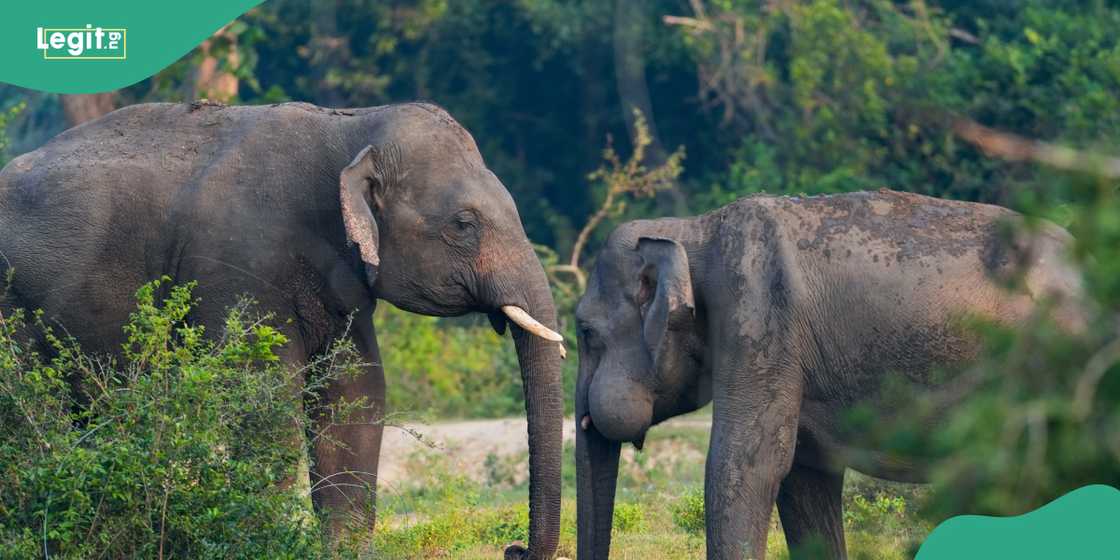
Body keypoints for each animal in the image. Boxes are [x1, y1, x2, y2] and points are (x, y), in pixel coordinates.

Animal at [0, 100, 563, 559]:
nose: (514, 549)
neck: (349, 128)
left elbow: (355, 396)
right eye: (463, 224)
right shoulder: (237, 263)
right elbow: (264, 400)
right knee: (36, 419)